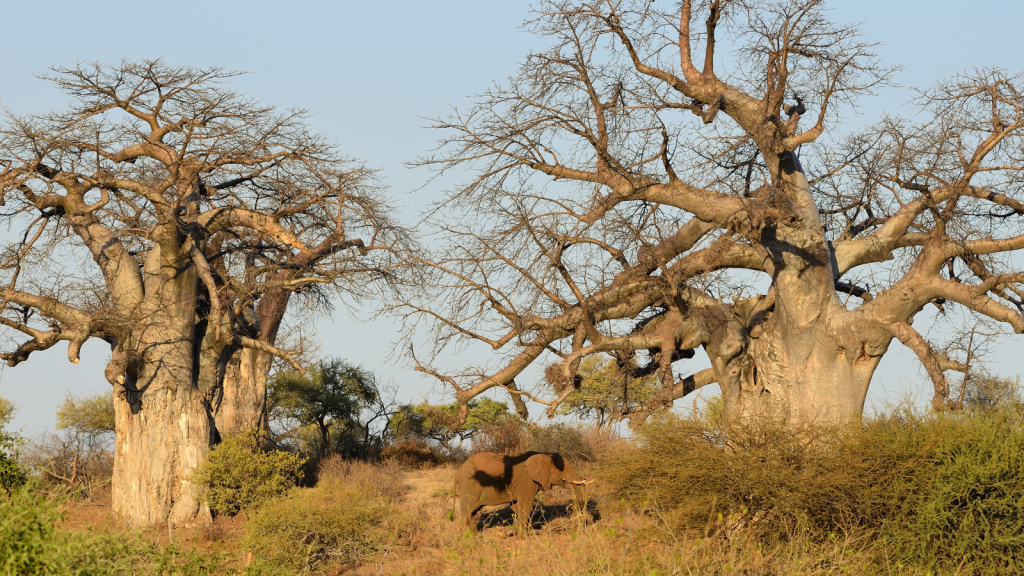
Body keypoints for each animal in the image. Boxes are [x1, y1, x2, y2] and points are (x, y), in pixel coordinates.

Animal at [452, 448, 589, 532]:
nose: (571, 502)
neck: (542, 454)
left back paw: (474, 536)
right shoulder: (527, 481)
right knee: (468, 512)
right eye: (562, 469)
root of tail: (458, 473)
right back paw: (470, 539)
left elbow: (516, 506)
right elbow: (526, 504)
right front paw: (523, 536)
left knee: (473, 512)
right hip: (470, 486)